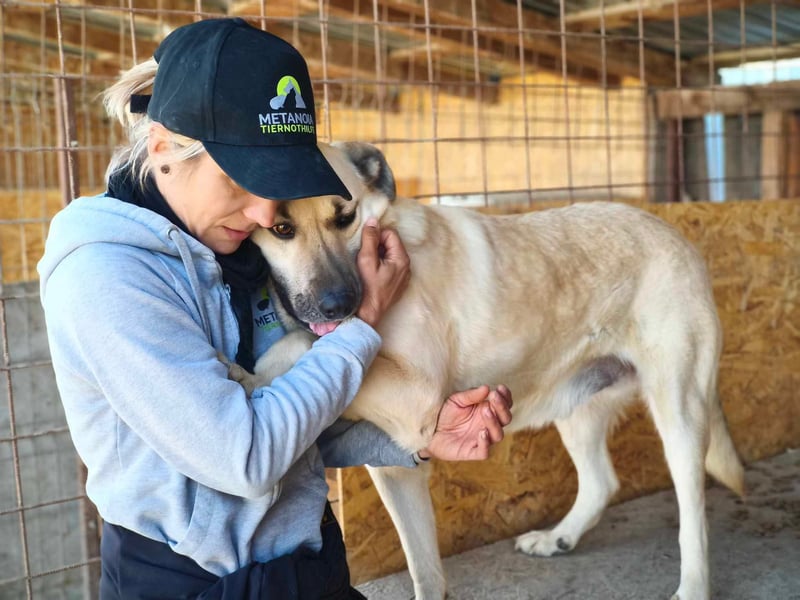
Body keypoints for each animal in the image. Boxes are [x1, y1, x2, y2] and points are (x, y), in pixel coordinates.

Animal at [235, 141, 744, 600]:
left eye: (345, 217)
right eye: (280, 228)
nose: (339, 305)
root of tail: (676, 234)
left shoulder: (417, 393)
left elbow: (306, 344)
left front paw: (252, 374)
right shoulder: (396, 468)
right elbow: (426, 574)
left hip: (680, 413)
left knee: (692, 513)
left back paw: (692, 587)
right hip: (578, 407)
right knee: (603, 482)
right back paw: (558, 538)